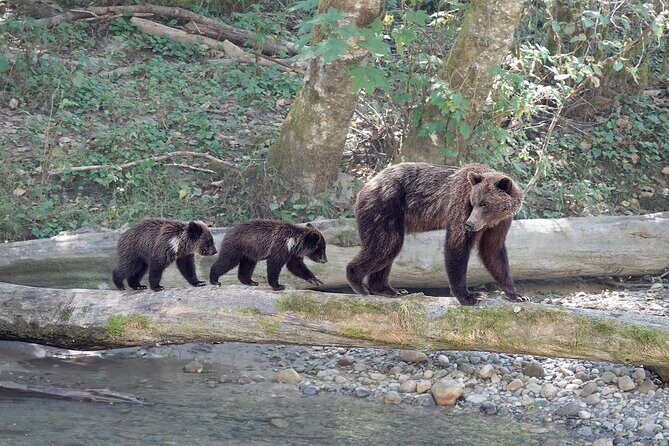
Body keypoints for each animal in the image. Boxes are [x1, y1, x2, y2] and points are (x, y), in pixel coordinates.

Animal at [346, 162, 527, 305]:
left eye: (485, 204)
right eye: (474, 202)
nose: (469, 224)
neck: (493, 219)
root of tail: (367, 185)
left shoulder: (500, 222)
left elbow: (493, 250)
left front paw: (516, 294)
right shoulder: (460, 203)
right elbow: (457, 245)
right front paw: (469, 296)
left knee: (386, 249)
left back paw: (387, 289)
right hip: (385, 207)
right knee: (386, 245)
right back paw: (358, 283)